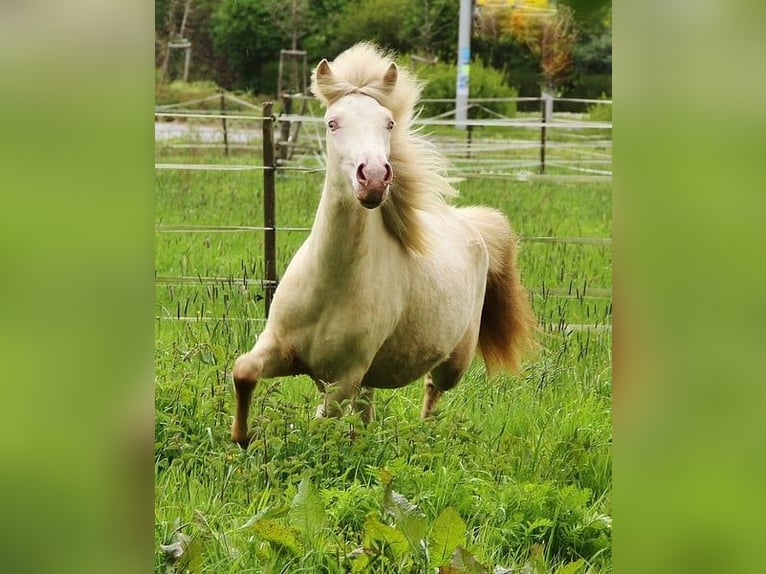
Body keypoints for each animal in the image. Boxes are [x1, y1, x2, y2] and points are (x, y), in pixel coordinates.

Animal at [231, 46, 536, 450]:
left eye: (388, 123)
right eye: (332, 123)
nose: (374, 177)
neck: (331, 284)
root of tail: (471, 223)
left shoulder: (344, 377)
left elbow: (320, 421)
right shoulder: (280, 347)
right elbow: (243, 370)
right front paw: (242, 437)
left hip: (453, 361)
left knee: (432, 389)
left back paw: (423, 436)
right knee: (368, 410)